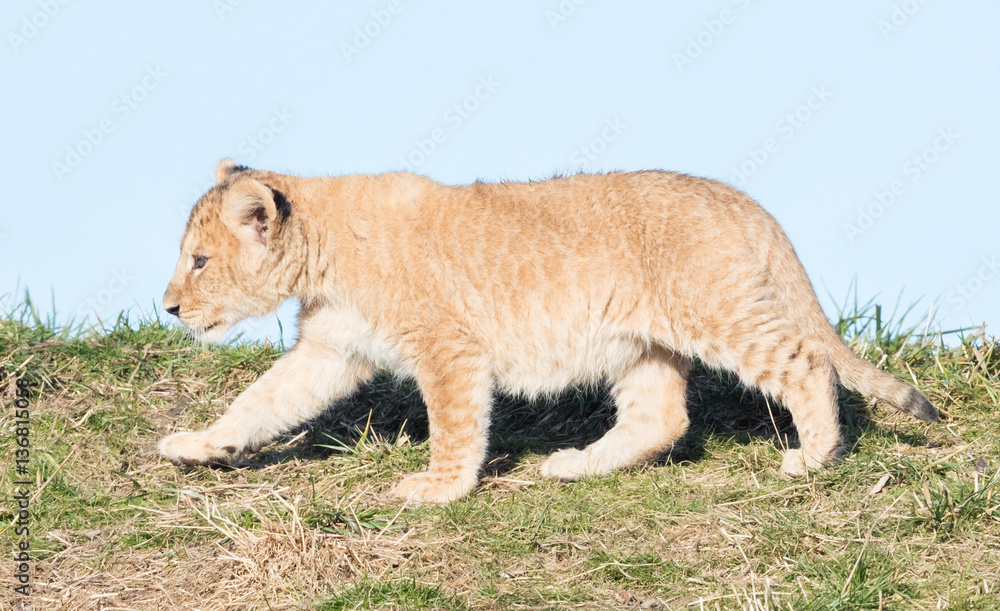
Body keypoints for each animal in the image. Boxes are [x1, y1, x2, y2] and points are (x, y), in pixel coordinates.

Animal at [157, 159, 938, 503]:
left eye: (199, 261)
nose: (167, 308)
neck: (321, 251)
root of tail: (735, 196)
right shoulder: (330, 349)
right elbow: (261, 401)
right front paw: (199, 445)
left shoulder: (449, 348)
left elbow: (456, 425)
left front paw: (437, 489)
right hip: (644, 345)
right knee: (662, 417)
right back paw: (576, 464)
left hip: (717, 312)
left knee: (806, 362)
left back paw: (817, 457)